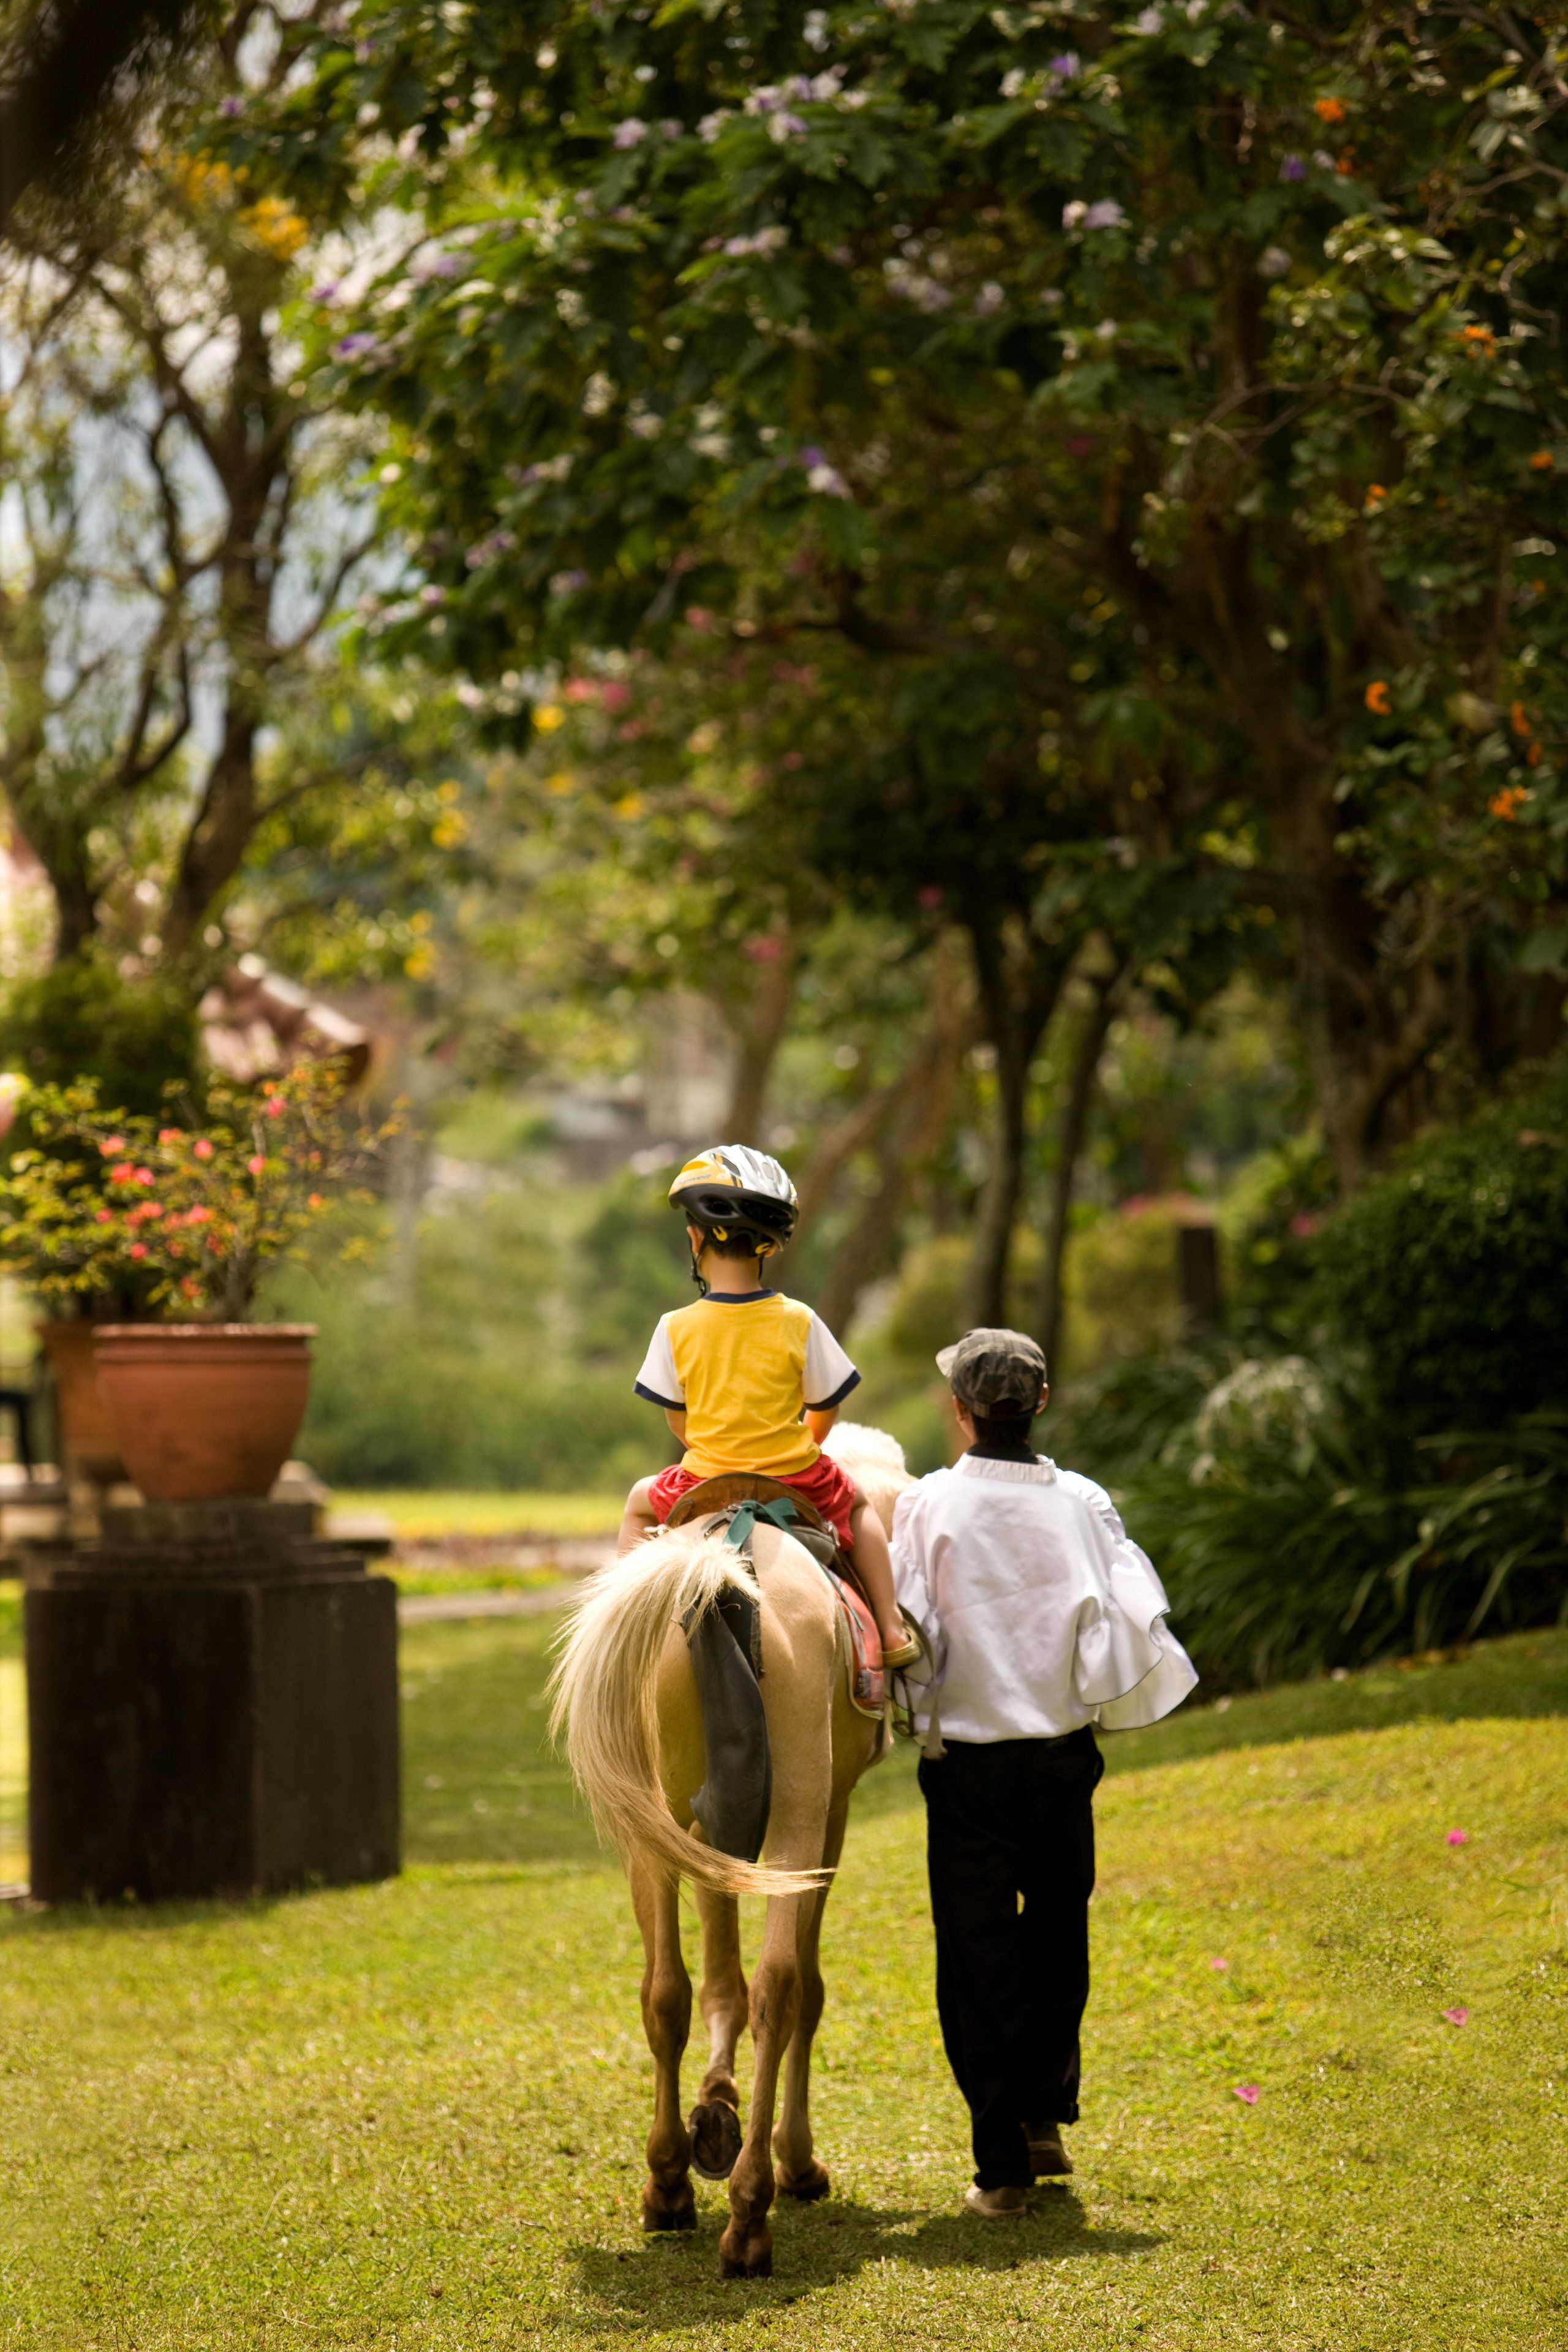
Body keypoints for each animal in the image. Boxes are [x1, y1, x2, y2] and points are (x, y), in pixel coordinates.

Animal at [549, 1426, 913, 2279]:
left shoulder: (709, 1832)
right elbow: (797, 1989)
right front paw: (793, 2159)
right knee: (781, 1988)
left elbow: (717, 1983)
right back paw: (752, 2213)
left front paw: (712, 2112)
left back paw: (668, 2185)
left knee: (663, 1991)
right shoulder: (829, 1820)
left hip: (656, 1821)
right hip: (798, 1817)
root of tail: (720, 1571)